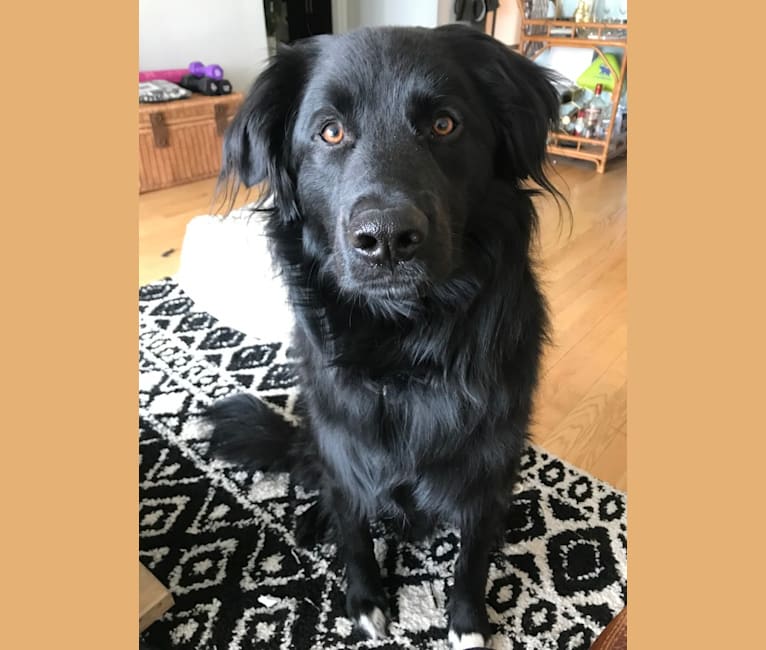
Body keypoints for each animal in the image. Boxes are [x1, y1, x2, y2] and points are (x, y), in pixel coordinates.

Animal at [204, 24, 564, 648]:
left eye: (444, 124)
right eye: (330, 130)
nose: (388, 239)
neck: (404, 347)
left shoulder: (487, 466)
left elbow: (473, 555)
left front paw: (467, 623)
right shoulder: (343, 450)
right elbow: (354, 533)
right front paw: (366, 600)